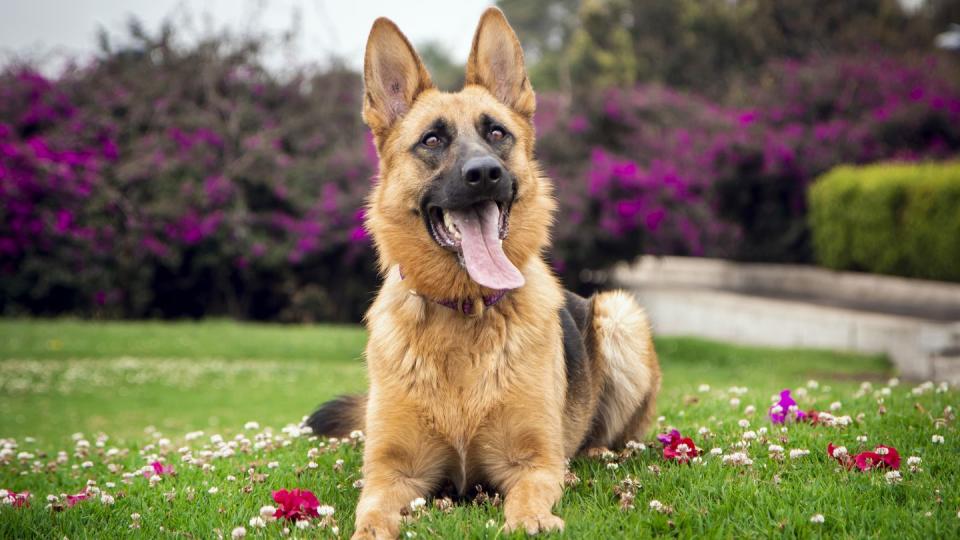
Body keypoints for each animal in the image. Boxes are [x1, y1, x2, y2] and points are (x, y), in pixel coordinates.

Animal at [308, 6, 660, 536]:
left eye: (497, 133)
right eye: (432, 139)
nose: (484, 173)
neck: (464, 311)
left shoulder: (533, 465)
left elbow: (528, 502)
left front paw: (531, 520)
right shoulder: (391, 474)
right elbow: (369, 516)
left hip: (620, 316)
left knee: (616, 435)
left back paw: (597, 449)